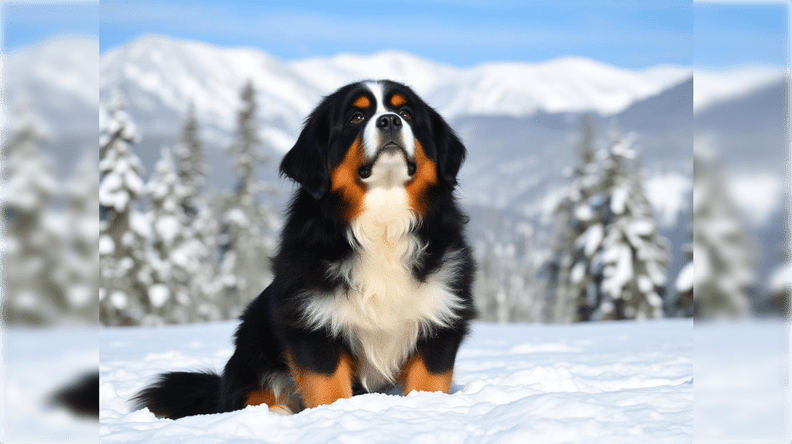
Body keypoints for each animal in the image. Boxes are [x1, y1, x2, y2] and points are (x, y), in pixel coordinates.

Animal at [135, 80, 476, 420]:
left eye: (406, 113)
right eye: (355, 117)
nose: (390, 120)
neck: (382, 222)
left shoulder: (440, 317)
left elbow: (428, 382)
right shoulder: (312, 323)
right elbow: (328, 387)